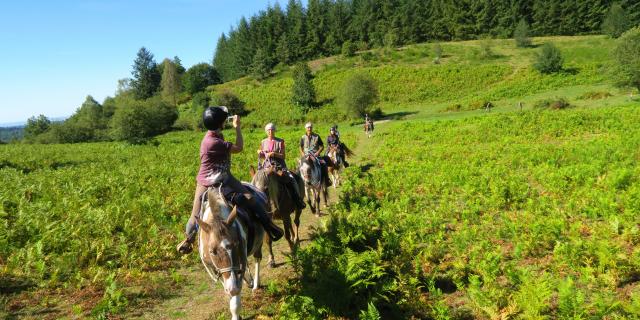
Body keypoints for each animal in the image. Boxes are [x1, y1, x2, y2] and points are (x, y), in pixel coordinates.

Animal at [194, 184, 266, 320]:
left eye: (236, 244)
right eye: (212, 251)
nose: (233, 288)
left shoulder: (239, 264)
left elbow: (235, 299)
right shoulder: (219, 270)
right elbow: (228, 290)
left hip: (259, 244)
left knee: (257, 259)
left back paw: (255, 285)